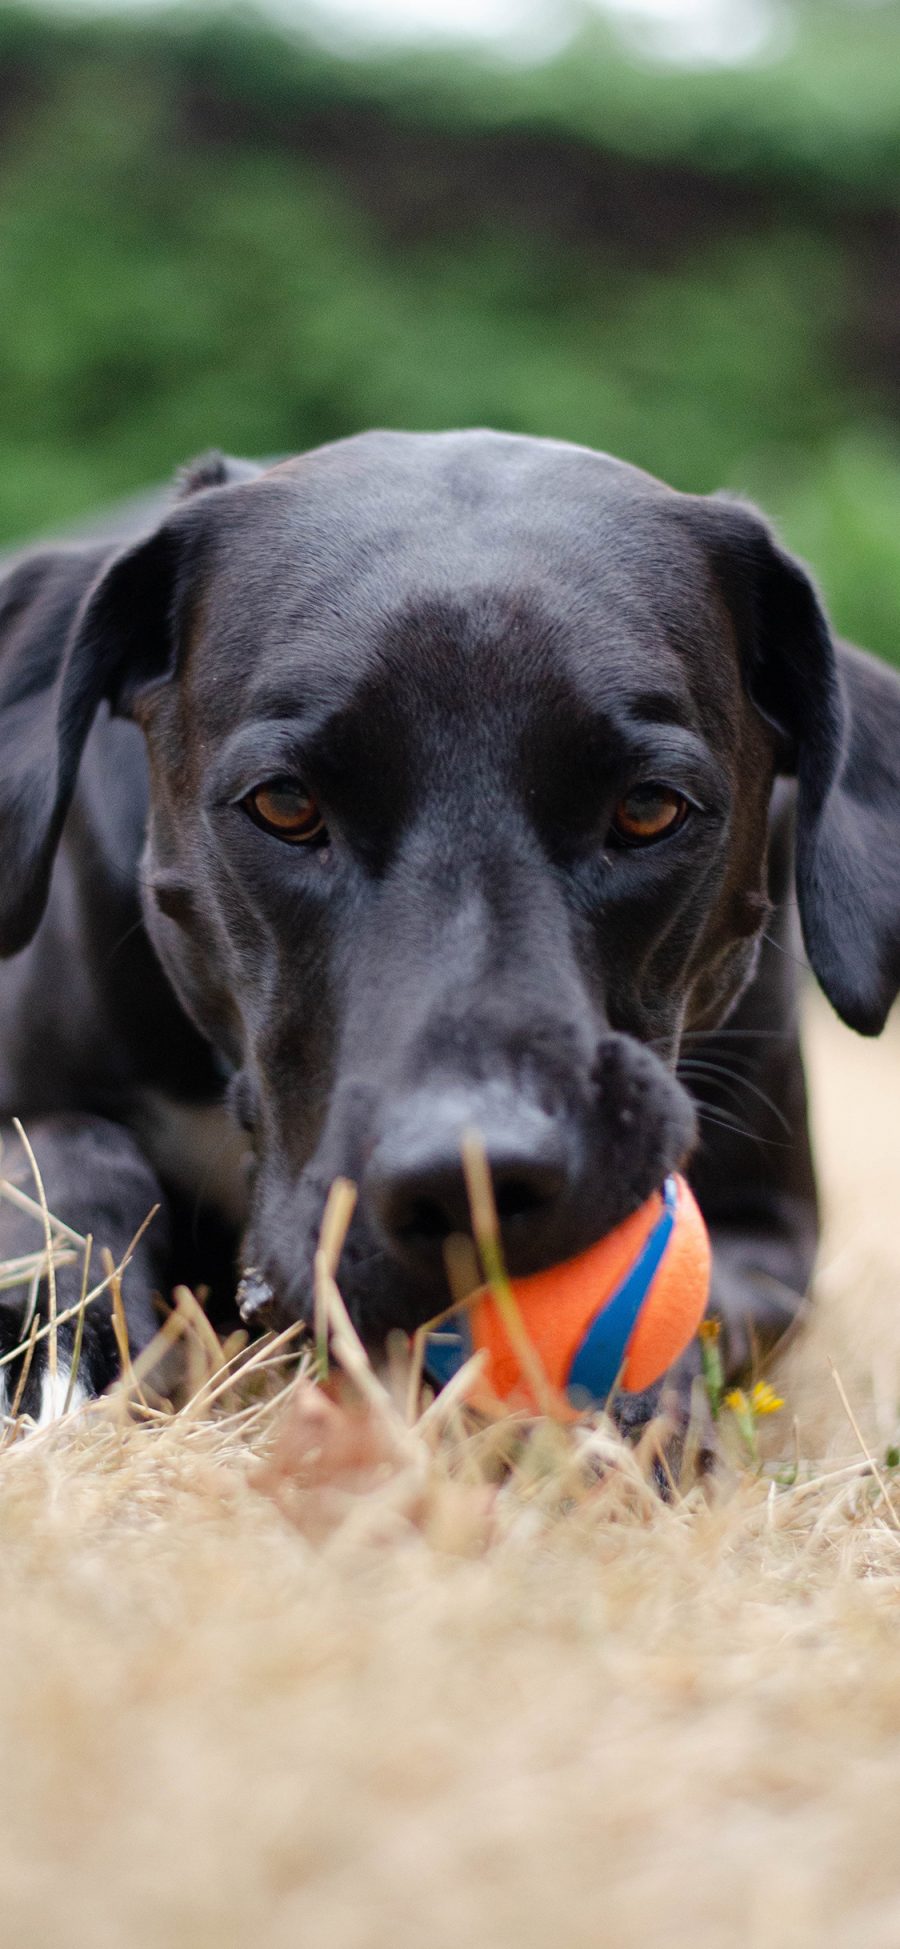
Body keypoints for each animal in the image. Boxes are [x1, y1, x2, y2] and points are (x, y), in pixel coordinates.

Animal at [1, 434, 900, 1426]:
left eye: (650, 809)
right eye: (284, 804)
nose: (474, 1180)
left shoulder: (769, 1228)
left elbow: (704, 1303)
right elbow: (63, 1156)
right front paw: (65, 1348)